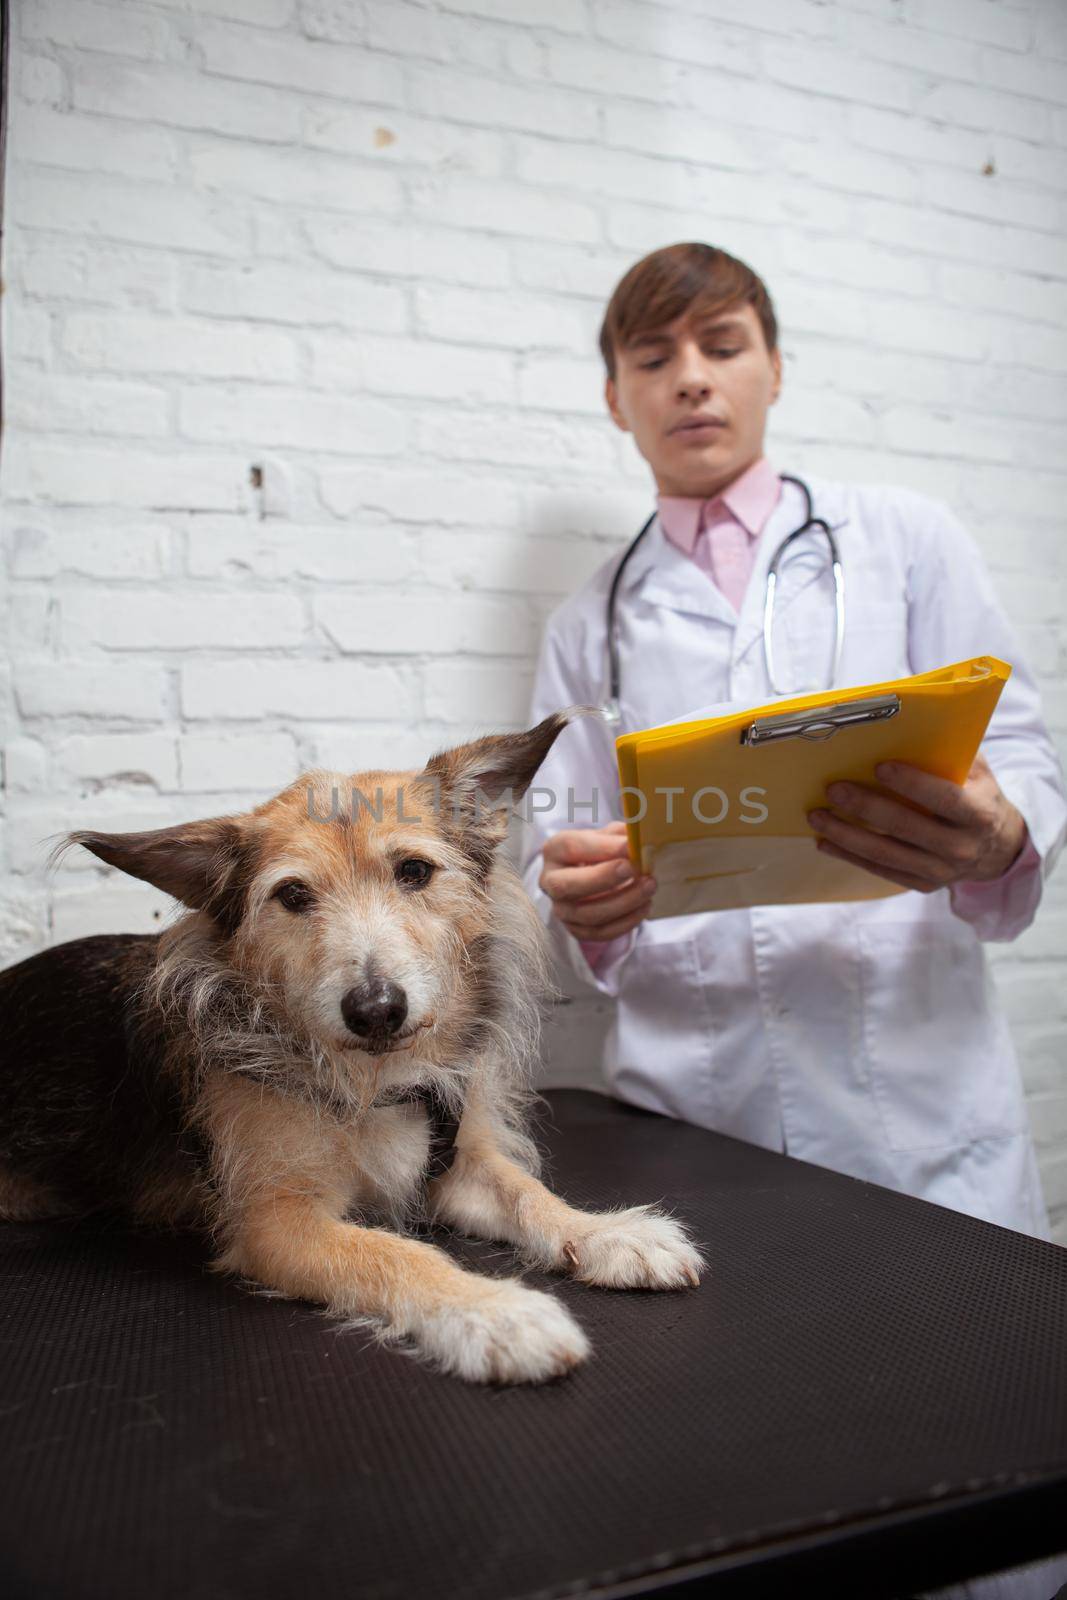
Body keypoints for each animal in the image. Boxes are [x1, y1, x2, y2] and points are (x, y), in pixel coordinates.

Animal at [0, 716, 703, 1388]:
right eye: (292, 896)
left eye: (414, 871)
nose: (376, 1009)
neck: (377, 1080)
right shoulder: (276, 1222)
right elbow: (395, 1253)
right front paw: (493, 1311)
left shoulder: (457, 1168)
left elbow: (527, 1193)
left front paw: (606, 1232)